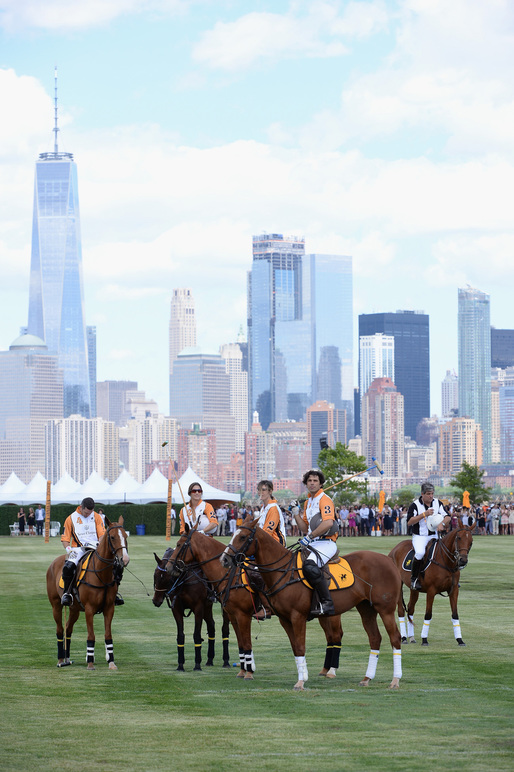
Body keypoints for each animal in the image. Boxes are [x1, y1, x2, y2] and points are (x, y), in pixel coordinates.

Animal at [45, 520, 129, 668]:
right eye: (113, 537)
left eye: (125, 536)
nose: (124, 559)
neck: (101, 574)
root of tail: (54, 562)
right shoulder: (89, 609)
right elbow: (91, 636)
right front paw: (90, 662)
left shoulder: (109, 608)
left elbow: (108, 635)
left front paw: (111, 661)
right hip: (56, 605)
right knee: (60, 630)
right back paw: (60, 660)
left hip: (74, 609)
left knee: (68, 629)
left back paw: (67, 659)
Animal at [166, 532, 342, 680]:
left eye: (179, 544)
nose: (169, 568)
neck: (229, 575)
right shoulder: (232, 614)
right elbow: (240, 643)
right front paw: (243, 670)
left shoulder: (242, 614)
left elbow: (246, 642)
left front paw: (249, 671)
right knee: (331, 637)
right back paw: (326, 670)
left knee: (336, 636)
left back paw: (331, 671)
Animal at [218, 520, 402, 692]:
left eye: (242, 537)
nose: (224, 559)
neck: (282, 572)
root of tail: (389, 559)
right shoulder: (284, 619)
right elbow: (295, 648)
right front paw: (303, 676)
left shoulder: (296, 616)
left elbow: (300, 647)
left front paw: (300, 682)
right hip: (366, 609)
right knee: (375, 638)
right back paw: (367, 678)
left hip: (385, 609)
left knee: (395, 638)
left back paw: (395, 680)